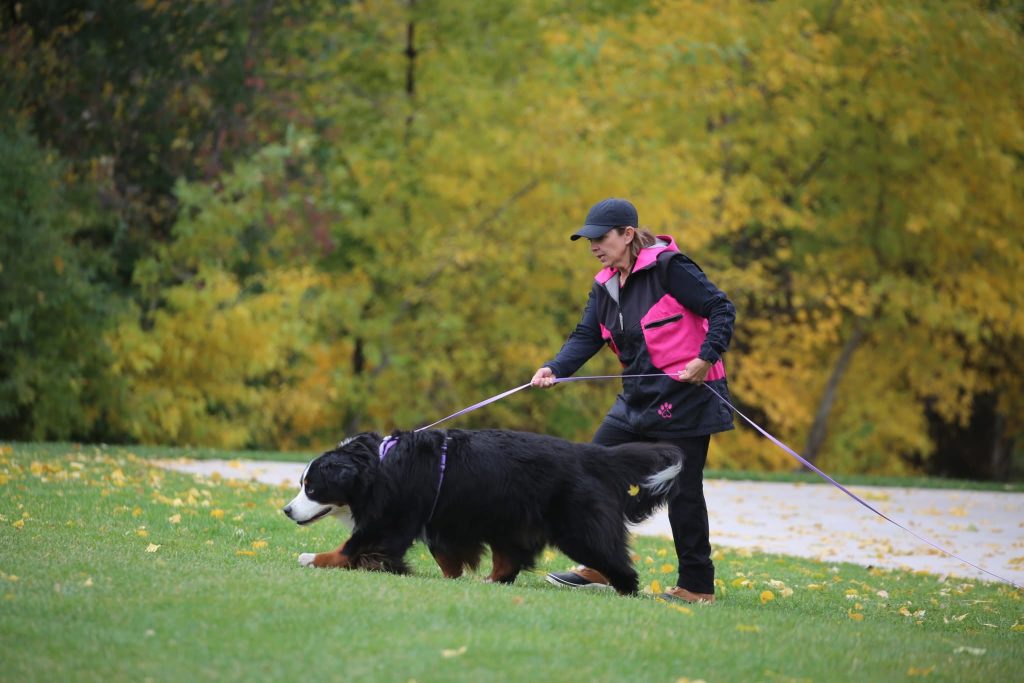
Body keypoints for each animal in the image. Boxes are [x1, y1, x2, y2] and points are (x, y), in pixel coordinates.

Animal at [282, 428, 683, 595]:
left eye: (311, 487)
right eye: (302, 483)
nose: (286, 510)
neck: (378, 466)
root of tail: (588, 454)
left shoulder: (389, 520)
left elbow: (353, 546)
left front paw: (312, 558)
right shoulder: (438, 521)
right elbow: (446, 557)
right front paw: (452, 577)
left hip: (577, 528)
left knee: (614, 561)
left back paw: (627, 591)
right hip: (511, 521)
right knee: (509, 560)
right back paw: (491, 581)